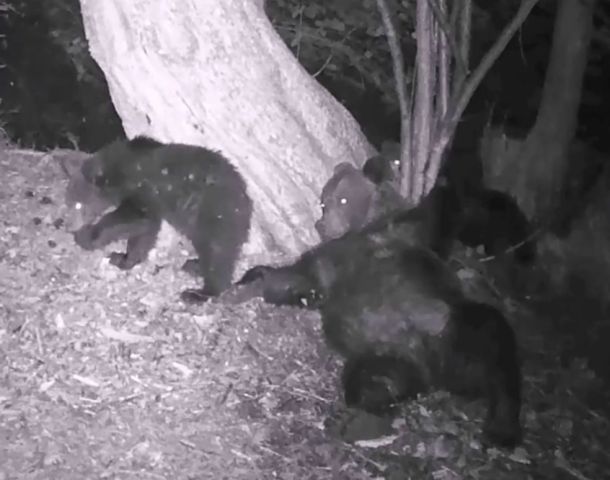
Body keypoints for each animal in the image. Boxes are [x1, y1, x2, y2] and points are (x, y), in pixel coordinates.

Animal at [62, 135, 252, 302]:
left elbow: (133, 218)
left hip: (215, 217)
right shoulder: (150, 203)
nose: (67, 225)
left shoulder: (144, 189)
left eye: (79, 205)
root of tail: (246, 202)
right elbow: (145, 230)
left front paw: (87, 236)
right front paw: (124, 259)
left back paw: (199, 293)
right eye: (68, 201)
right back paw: (195, 265)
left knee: (217, 255)